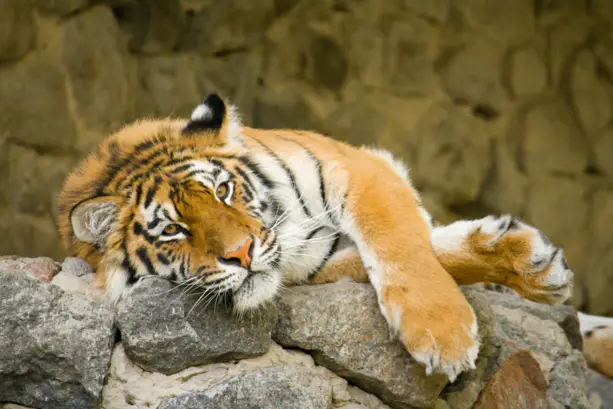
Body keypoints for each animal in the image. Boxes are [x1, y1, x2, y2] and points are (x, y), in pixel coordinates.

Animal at [57, 92, 572, 380]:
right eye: (172, 230)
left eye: (223, 191)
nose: (242, 254)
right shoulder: (315, 257)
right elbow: (409, 254)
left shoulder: (360, 166)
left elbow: (402, 243)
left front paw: (446, 331)